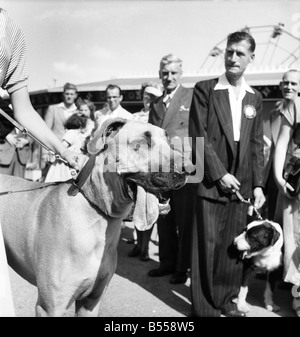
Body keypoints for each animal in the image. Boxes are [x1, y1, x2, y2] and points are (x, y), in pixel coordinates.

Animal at [0, 117, 189, 316]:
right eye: (142, 143)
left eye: (169, 142)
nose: (188, 168)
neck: (97, 214)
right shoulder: (51, 307)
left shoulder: (91, 301)